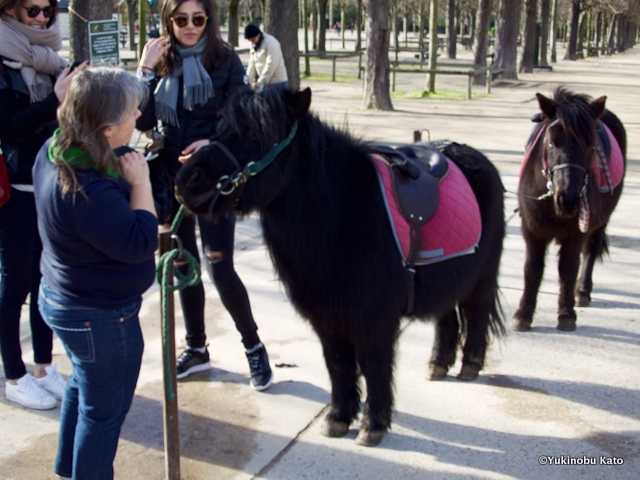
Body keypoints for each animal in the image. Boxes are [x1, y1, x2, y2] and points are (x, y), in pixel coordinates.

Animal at [512, 88, 628, 332]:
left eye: (590, 145)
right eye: (551, 142)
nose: (568, 200)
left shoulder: (575, 234)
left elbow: (568, 268)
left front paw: (566, 315)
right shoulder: (532, 230)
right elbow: (532, 269)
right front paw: (523, 314)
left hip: (599, 223)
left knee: (591, 251)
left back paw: (582, 291)